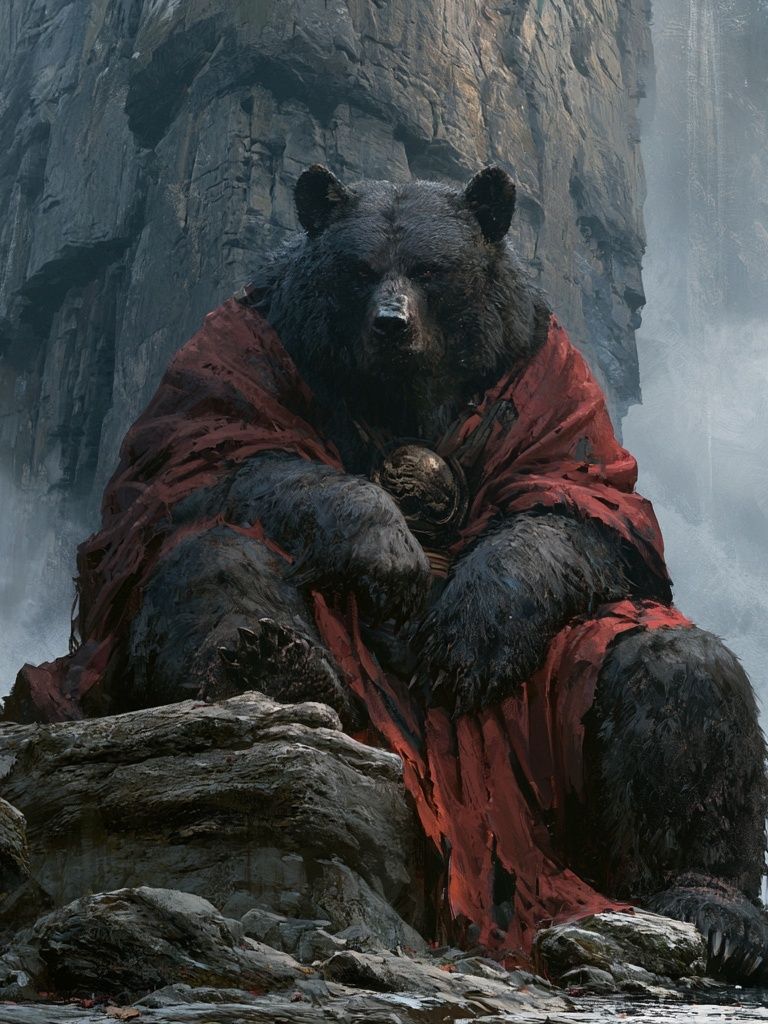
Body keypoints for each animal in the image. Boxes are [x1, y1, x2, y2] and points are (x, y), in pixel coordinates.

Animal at [8, 165, 768, 979]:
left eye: (432, 270)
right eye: (361, 269)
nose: (390, 323)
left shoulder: (547, 377)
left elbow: (582, 509)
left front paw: (472, 625)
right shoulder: (243, 355)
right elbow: (214, 463)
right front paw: (384, 546)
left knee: (676, 673)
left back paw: (712, 907)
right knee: (210, 553)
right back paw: (275, 666)